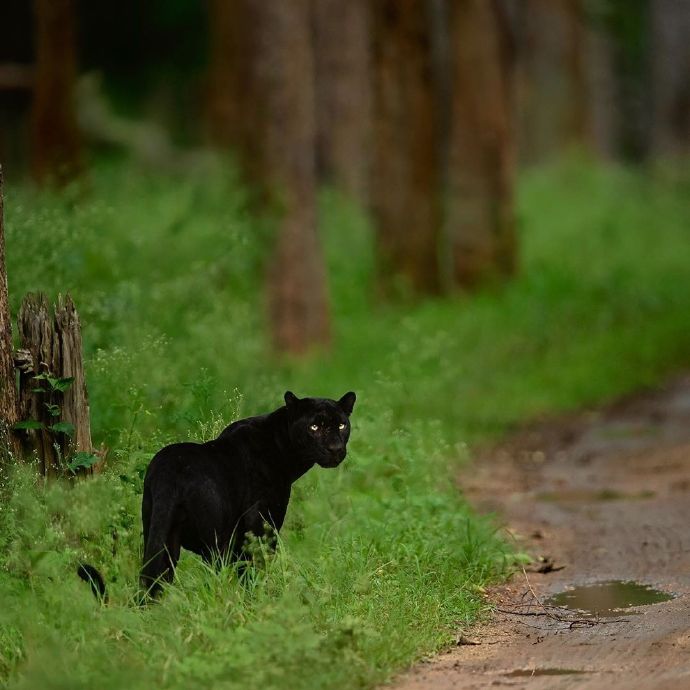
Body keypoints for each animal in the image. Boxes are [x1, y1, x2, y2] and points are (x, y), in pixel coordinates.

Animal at [82, 388, 354, 596]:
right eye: (315, 426)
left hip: (160, 533)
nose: (335, 448)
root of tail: (171, 473)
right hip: (215, 537)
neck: (283, 447)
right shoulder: (263, 524)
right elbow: (256, 566)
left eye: (342, 425)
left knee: (156, 577)